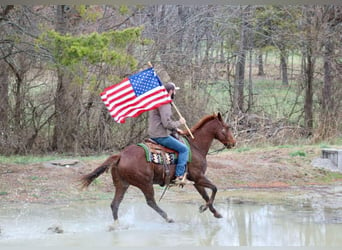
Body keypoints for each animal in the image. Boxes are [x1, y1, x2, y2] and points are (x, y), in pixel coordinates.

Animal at [80, 112, 235, 222]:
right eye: (227, 128)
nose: (233, 143)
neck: (195, 146)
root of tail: (121, 155)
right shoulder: (199, 177)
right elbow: (214, 189)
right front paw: (204, 208)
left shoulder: (196, 180)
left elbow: (206, 194)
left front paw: (215, 212)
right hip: (145, 183)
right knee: (150, 202)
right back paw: (168, 218)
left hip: (122, 184)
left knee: (115, 204)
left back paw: (116, 226)